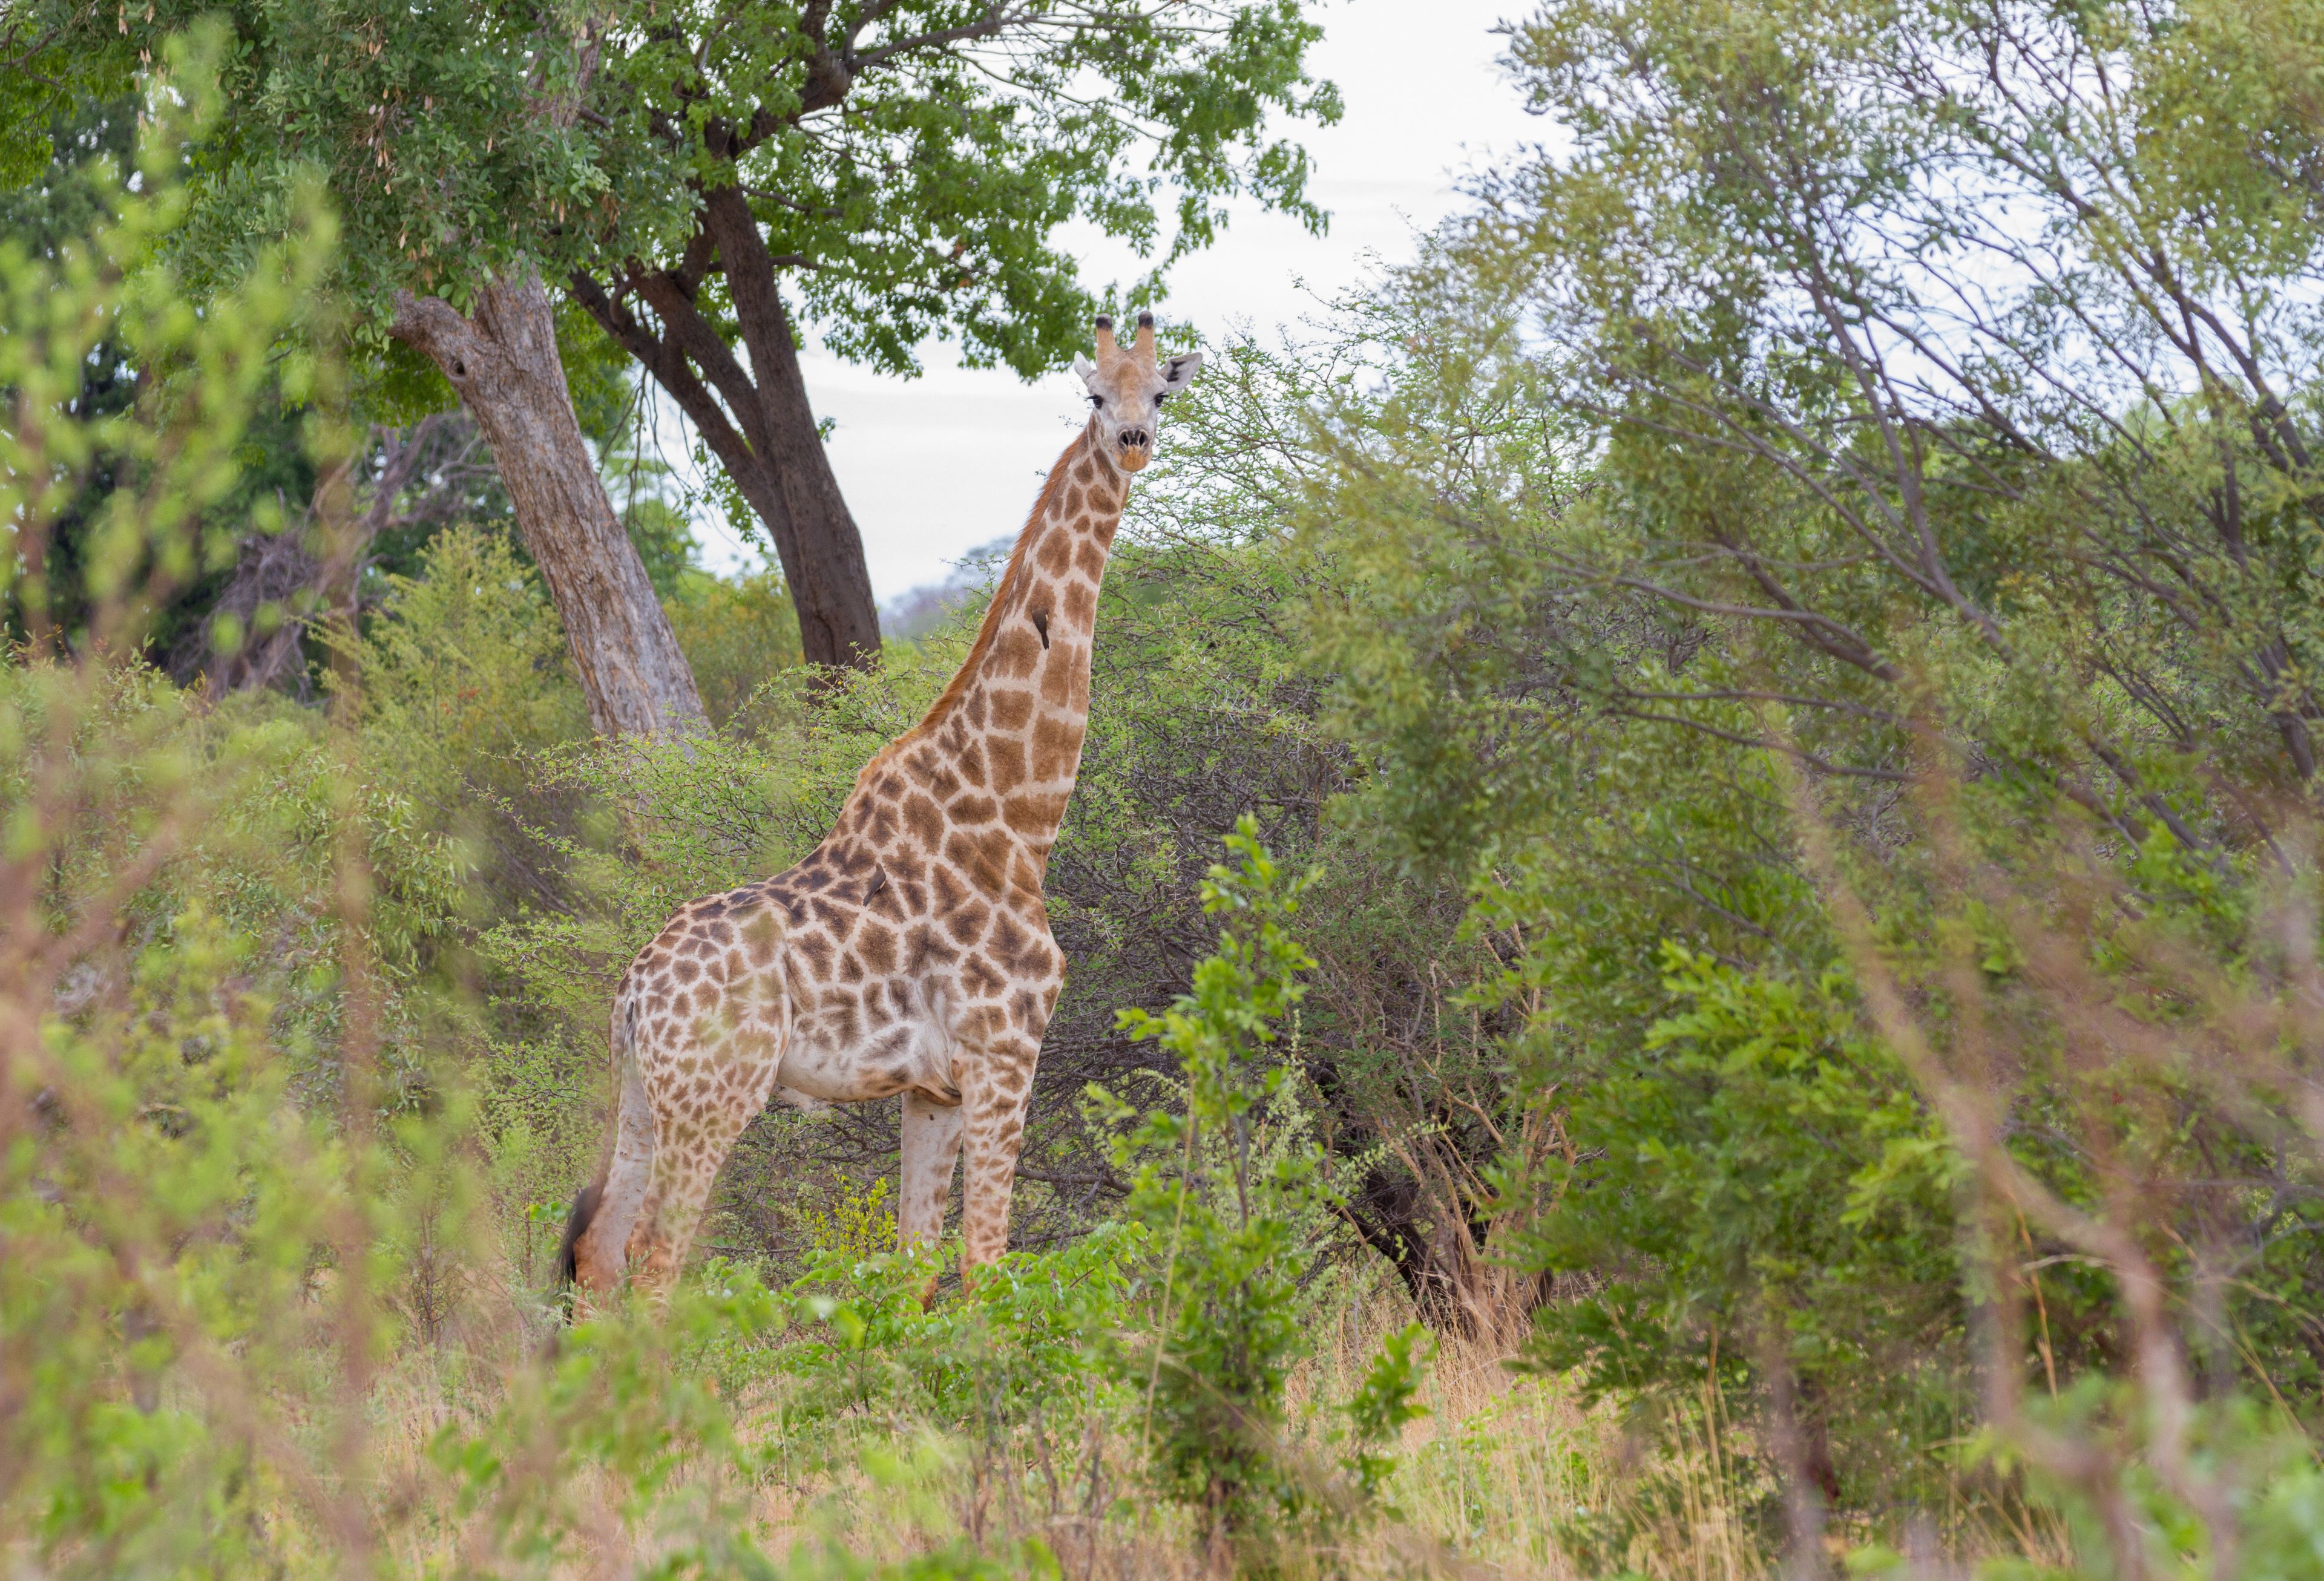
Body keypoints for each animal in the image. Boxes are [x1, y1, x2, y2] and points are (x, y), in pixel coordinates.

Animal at [560, 311, 1201, 1299]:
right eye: (1097, 395)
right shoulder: (1005, 1054)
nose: (1133, 441)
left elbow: (914, 1266)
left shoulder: (932, 1088)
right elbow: (986, 1263)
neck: (1018, 818)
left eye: (1160, 393)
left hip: (641, 1093)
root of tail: (634, 988)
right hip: (717, 1095)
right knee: (658, 1255)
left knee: (598, 1250)